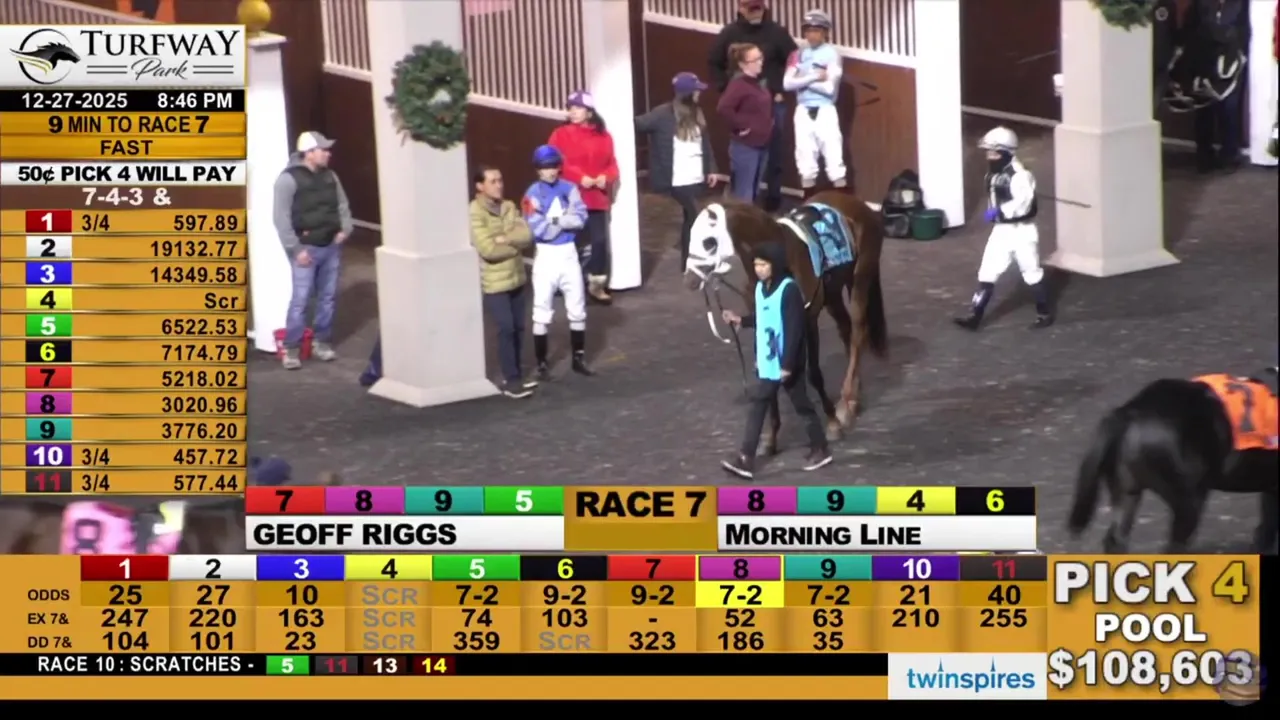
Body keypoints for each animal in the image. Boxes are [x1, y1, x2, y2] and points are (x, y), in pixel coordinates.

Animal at [684, 191, 888, 452]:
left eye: (709, 242)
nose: (689, 280)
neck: (777, 260)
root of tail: (861, 206)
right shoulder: (762, 321)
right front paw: (770, 438)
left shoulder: (807, 319)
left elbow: (814, 374)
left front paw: (832, 424)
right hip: (832, 294)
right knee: (846, 330)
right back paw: (853, 398)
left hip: (859, 280)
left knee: (857, 332)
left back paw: (845, 405)